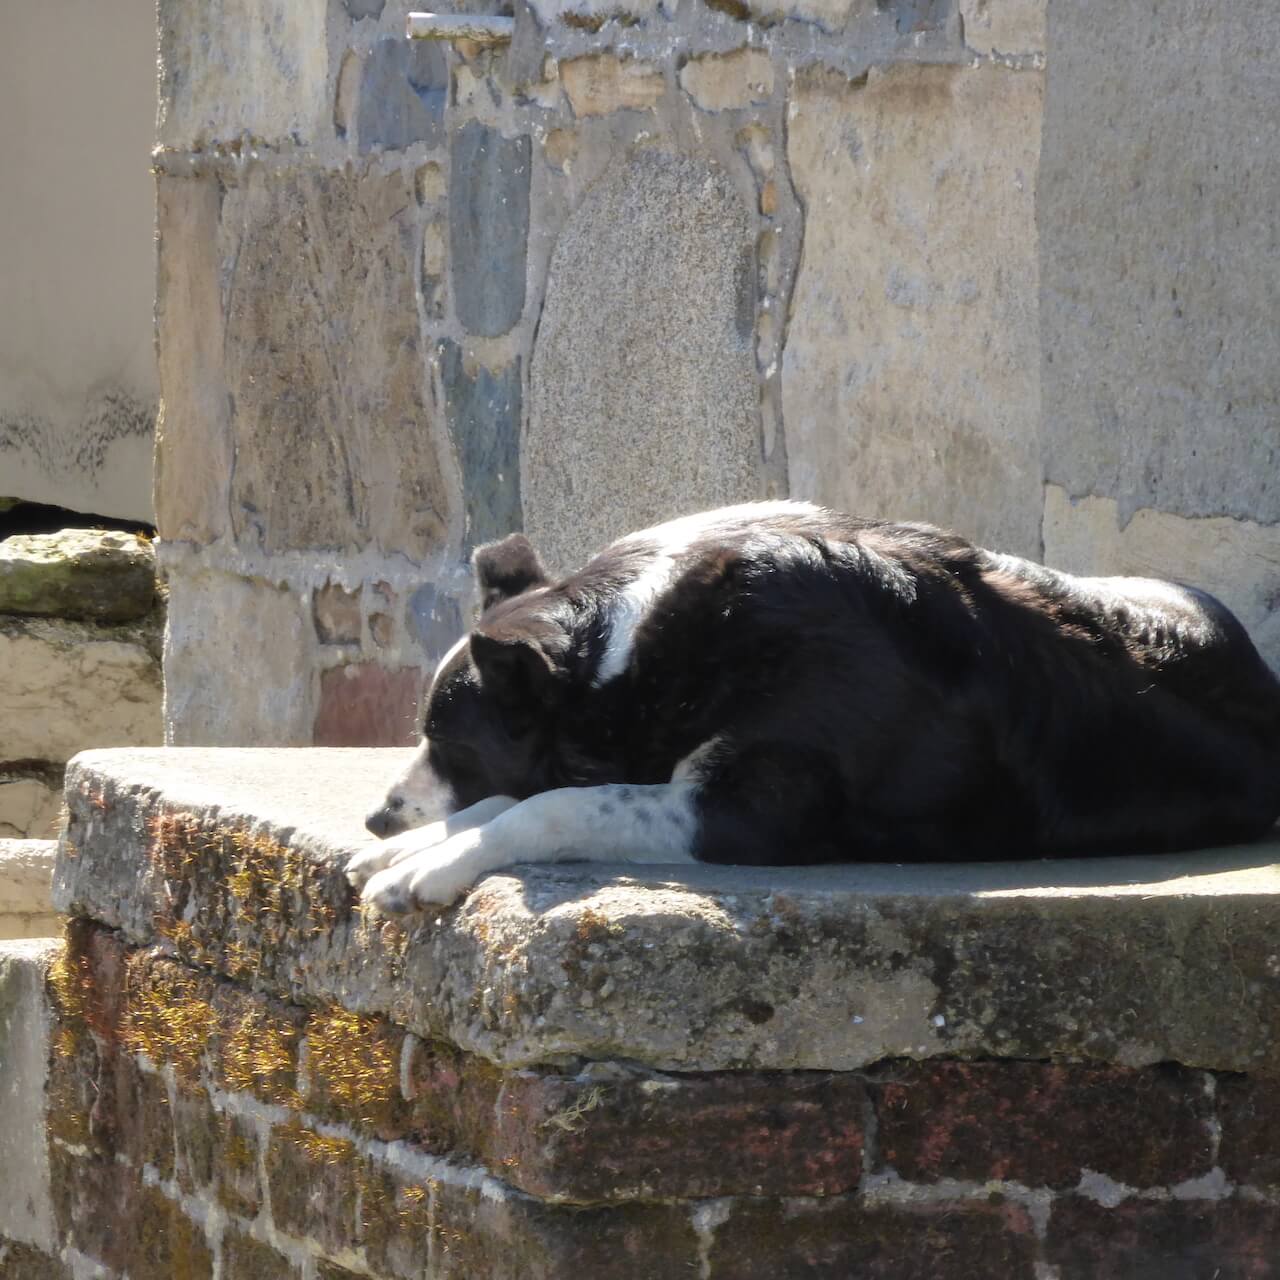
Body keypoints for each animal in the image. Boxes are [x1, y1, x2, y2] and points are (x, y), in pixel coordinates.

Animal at [343, 499, 1280, 911]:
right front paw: (413, 844)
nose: (377, 815)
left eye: (450, 745)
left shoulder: (749, 810)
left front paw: (428, 863)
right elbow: (517, 800)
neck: (637, 650)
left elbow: (551, 805)